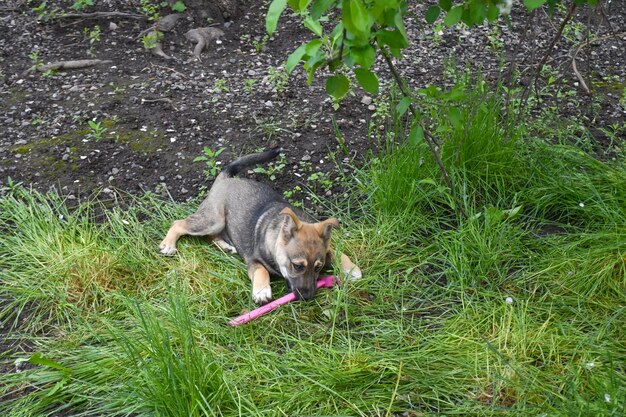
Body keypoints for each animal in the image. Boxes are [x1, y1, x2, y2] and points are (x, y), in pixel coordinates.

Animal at [158, 148, 360, 304]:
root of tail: (225, 179)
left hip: (217, 224)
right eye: (297, 266)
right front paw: (262, 291)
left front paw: (351, 268)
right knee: (179, 223)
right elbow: (262, 270)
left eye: (318, 267)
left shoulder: (326, 248)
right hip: (213, 220)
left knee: (211, 236)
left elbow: (337, 252)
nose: (308, 297)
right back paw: (168, 244)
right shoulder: (253, 261)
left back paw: (226, 246)